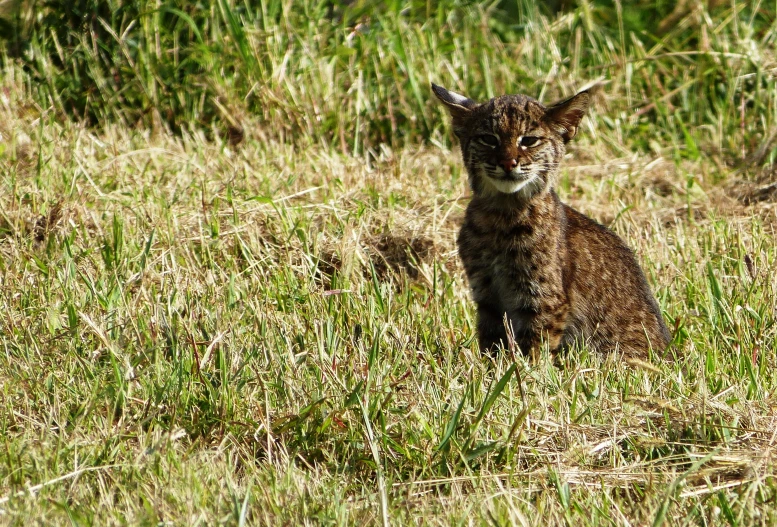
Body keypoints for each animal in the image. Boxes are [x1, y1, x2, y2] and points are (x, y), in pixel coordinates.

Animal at [434, 84, 668, 358]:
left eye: (529, 141)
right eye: (488, 139)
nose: (507, 163)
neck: (503, 212)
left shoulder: (542, 299)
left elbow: (535, 349)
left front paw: (527, 370)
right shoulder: (486, 293)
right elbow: (491, 344)